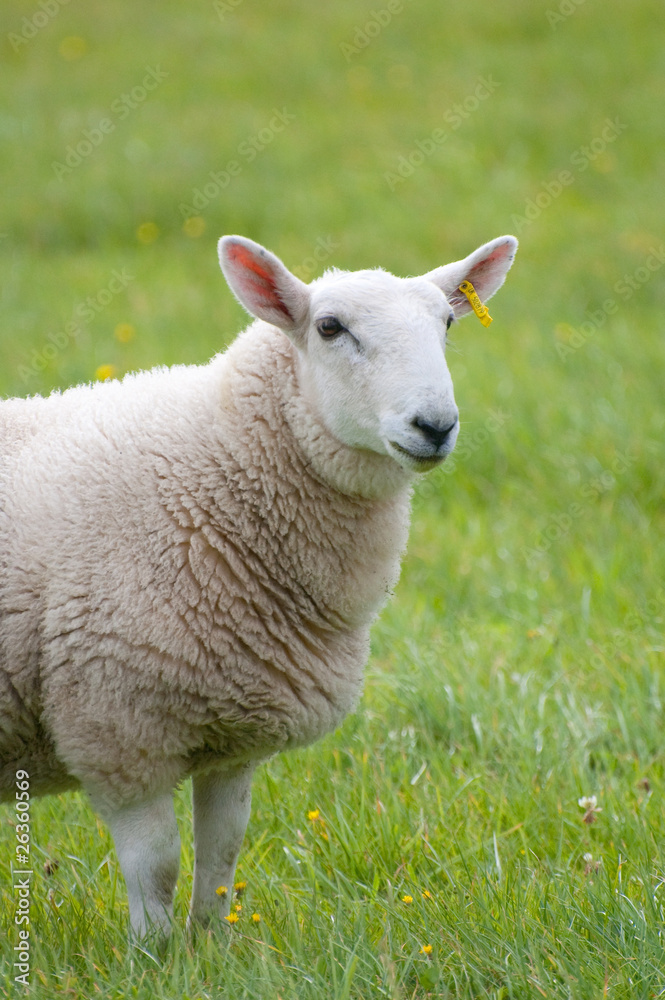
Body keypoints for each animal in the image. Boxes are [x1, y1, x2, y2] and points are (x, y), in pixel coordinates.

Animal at [0, 233, 517, 938]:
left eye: (447, 322)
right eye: (329, 328)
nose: (435, 425)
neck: (214, 470)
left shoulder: (231, 732)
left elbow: (222, 855)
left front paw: (211, 947)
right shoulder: (117, 728)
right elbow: (157, 868)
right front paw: (152, 955)